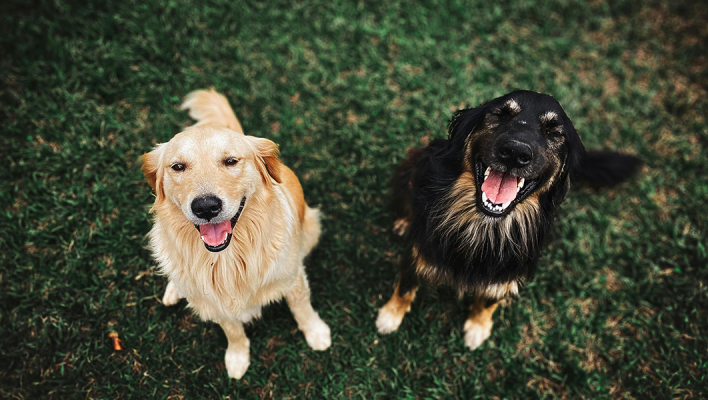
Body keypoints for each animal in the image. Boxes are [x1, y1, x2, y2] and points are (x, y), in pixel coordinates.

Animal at [144, 90, 334, 378]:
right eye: (177, 166)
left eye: (231, 161)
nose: (206, 207)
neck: (227, 259)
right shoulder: (218, 304)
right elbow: (232, 331)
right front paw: (237, 357)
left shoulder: (292, 278)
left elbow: (302, 308)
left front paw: (316, 333)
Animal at [376, 90, 640, 350]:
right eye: (501, 114)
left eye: (554, 132)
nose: (515, 152)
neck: (485, 225)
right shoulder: (418, 250)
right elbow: (405, 286)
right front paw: (390, 316)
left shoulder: (507, 273)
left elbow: (488, 300)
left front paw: (478, 327)